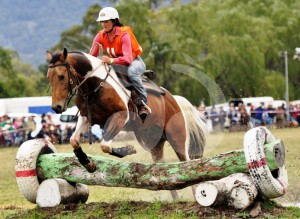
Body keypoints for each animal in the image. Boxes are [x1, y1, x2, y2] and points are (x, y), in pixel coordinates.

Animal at [46, 48, 209, 198]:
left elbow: (104, 145)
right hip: (153, 142)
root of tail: (174, 99)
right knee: (163, 171)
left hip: (177, 138)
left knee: (185, 163)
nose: (56, 107)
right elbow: (74, 140)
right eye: (49, 77)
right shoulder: (87, 118)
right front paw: (88, 163)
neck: (95, 85)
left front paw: (129, 149)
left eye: (61, 76)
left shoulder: (119, 117)